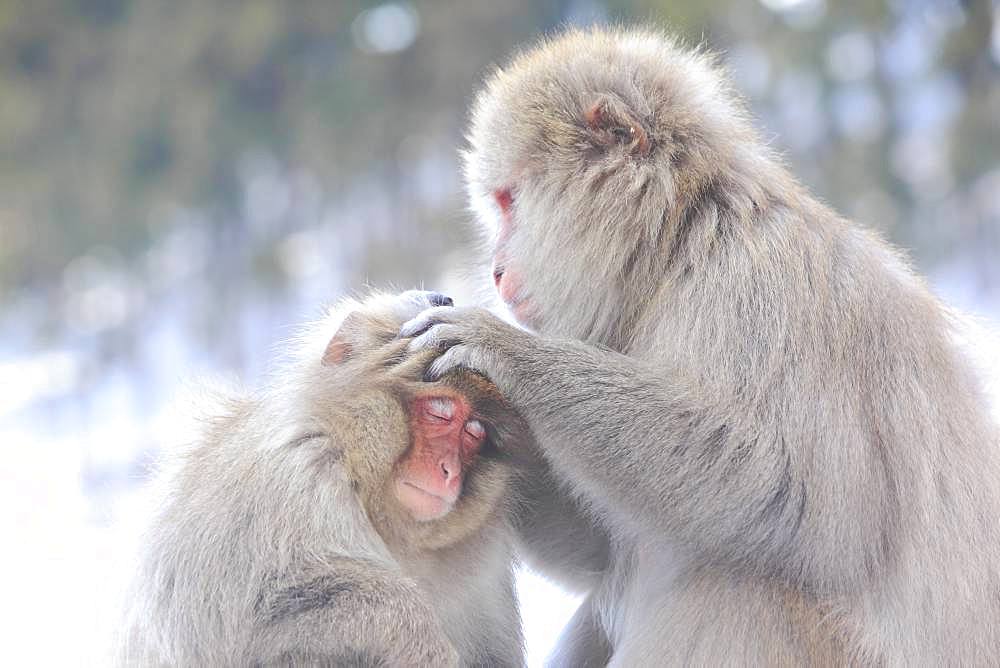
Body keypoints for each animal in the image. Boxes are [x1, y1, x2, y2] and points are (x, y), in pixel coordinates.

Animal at [121, 290, 532, 668]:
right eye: (440, 413)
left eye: (474, 433)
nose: (449, 470)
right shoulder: (294, 477)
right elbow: (259, 612)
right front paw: (419, 635)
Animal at [402, 24, 1000, 664]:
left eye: (509, 200)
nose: (494, 270)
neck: (679, 244)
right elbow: (602, 551)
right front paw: (493, 422)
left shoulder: (762, 288)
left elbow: (804, 503)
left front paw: (509, 355)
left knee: (739, 586)